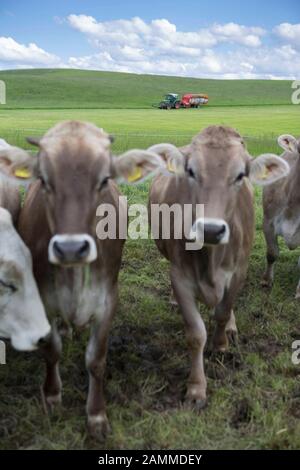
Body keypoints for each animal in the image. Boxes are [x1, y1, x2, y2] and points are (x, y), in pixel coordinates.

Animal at [0, 120, 164, 440]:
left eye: (104, 180)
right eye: (44, 180)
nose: (71, 248)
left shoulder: (107, 300)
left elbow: (96, 360)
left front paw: (96, 415)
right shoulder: (44, 299)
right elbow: (51, 350)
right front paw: (52, 396)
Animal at [148, 126, 288, 408]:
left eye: (241, 175)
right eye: (191, 171)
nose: (210, 229)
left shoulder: (238, 272)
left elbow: (223, 312)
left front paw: (221, 343)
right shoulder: (180, 277)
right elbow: (195, 334)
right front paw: (196, 387)